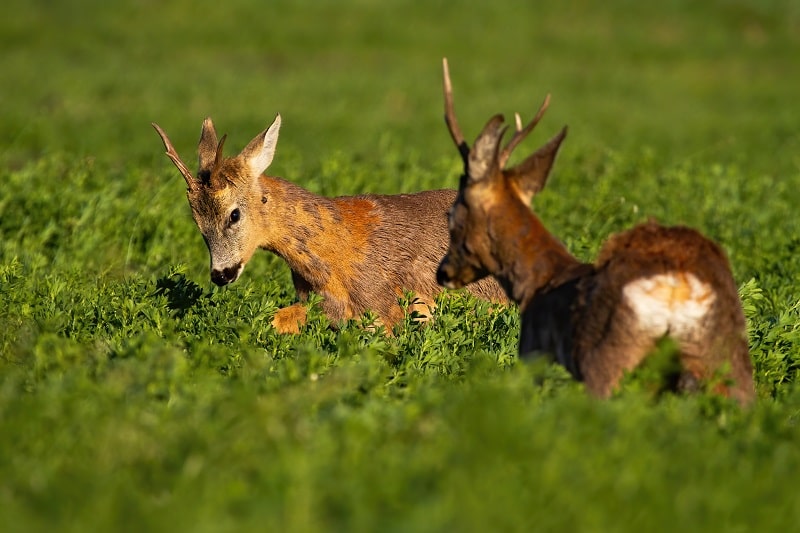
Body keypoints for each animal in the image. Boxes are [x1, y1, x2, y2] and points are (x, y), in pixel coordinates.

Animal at [438, 58, 756, 404]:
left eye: (453, 214)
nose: (444, 272)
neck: (539, 280)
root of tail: (677, 287)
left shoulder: (533, 349)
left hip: (605, 357)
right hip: (729, 358)